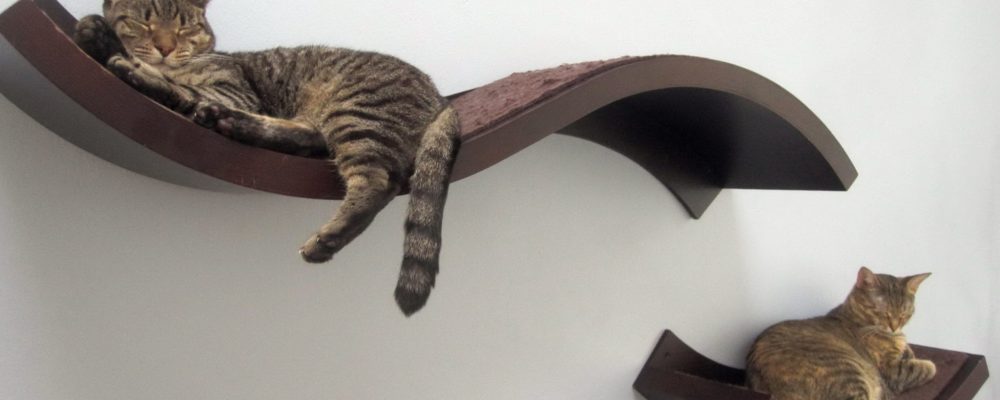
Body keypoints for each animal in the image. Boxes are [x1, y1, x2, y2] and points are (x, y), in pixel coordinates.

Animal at [73, 0, 461, 316]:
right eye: (144, 22)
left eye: (184, 27)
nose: (165, 48)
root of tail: (441, 97)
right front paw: (99, 34)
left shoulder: (233, 90)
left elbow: (177, 87)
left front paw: (123, 55)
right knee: (308, 140)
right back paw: (229, 121)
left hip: (355, 113)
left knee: (377, 181)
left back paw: (328, 237)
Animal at [745, 267, 936, 400]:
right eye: (883, 312)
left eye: (905, 313)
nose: (894, 327)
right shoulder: (892, 370)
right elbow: (926, 367)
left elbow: (909, 351)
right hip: (849, 374)